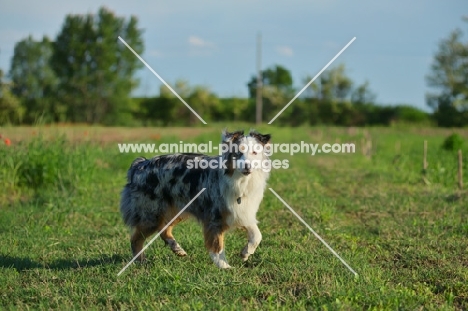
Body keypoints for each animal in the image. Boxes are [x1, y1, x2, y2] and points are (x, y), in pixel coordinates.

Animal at [119, 130, 270, 270]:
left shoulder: (241, 211)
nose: (247, 166)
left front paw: (245, 253)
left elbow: (257, 235)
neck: (240, 181)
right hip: (151, 214)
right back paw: (140, 261)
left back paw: (177, 249)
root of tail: (140, 164)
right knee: (136, 238)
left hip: (176, 210)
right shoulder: (214, 216)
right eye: (238, 153)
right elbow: (217, 245)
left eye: (255, 152)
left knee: (163, 229)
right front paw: (224, 267)